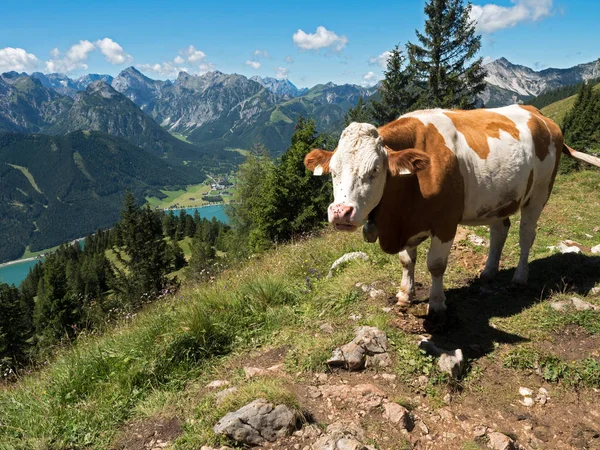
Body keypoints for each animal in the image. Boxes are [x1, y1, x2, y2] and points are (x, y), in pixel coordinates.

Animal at [304, 104, 600, 322]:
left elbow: (435, 265)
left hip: (539, 192)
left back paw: (519, 278)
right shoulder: (407, 221)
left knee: (526, 234)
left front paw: (437, 304)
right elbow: (406, 261)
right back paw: (488, 271)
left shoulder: (446, 222)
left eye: (375, 170)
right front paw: (404, 295)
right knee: (499, 231)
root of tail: (539, 114)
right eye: (333, 170)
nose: (340, 212)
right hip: (498, 197)